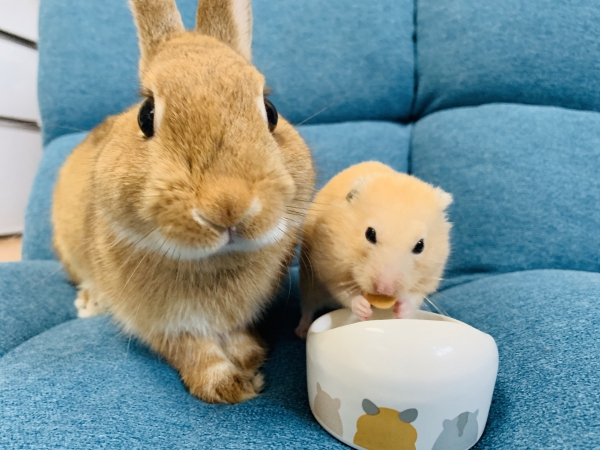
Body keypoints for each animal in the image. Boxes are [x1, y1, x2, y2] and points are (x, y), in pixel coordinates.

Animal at [52, 0, 314, 404]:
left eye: (270, 111)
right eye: (145, 115)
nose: (228, 205)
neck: (213, 261)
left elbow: (235, 336)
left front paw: (250, 358)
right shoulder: (160, 325)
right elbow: (194, 351)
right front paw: (231, 387)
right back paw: (90, 304)